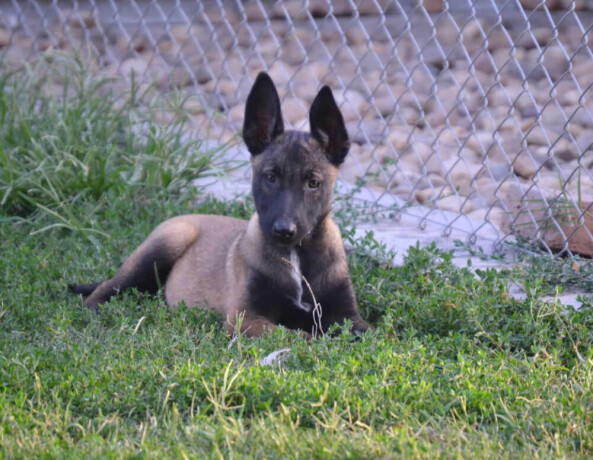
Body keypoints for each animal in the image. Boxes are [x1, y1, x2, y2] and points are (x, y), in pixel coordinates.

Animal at [69, 72, 370, 338]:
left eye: (313, 183)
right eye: (270, 178)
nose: (283, 230)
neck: (296, 256)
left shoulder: (348, 317)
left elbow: (366, 333)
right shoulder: (245, 317)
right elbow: (301, 338)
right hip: (165, 244)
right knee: (107, 288)